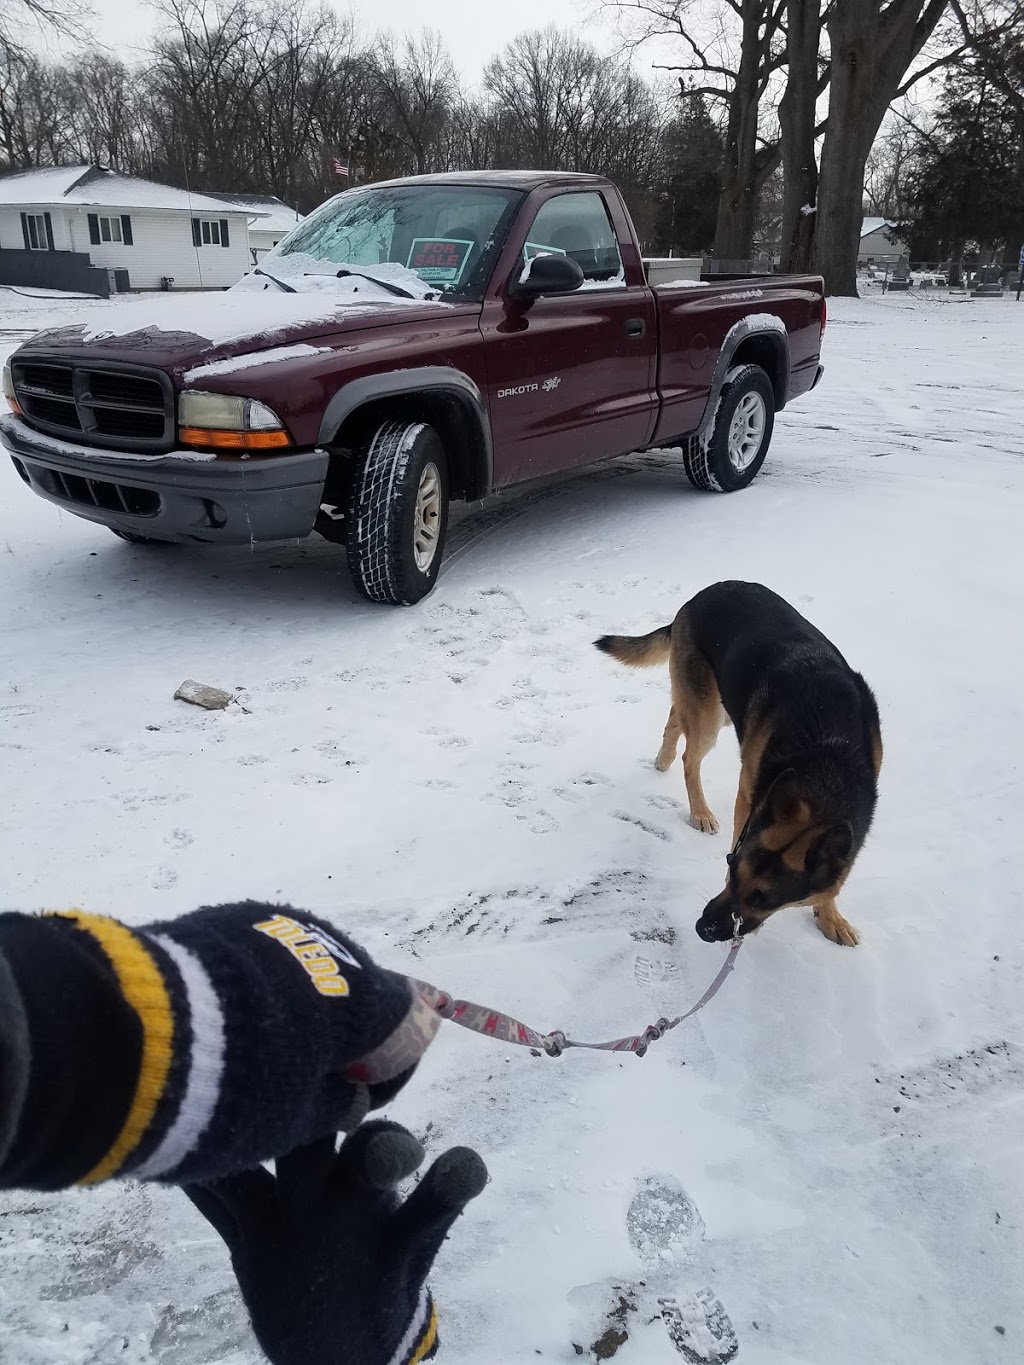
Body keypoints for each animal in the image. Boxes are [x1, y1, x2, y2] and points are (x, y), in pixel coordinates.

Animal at [598, 584, 884, 950]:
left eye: (765, 899)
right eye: (731, 865)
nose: (702, 928)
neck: (828, 754)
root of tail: (695, 599)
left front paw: (830, 915)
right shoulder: (749, 793)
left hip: (717, 707)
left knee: (676, 714)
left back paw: (663, 758)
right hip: (710, 714)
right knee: (690, 756)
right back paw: (700, 811)